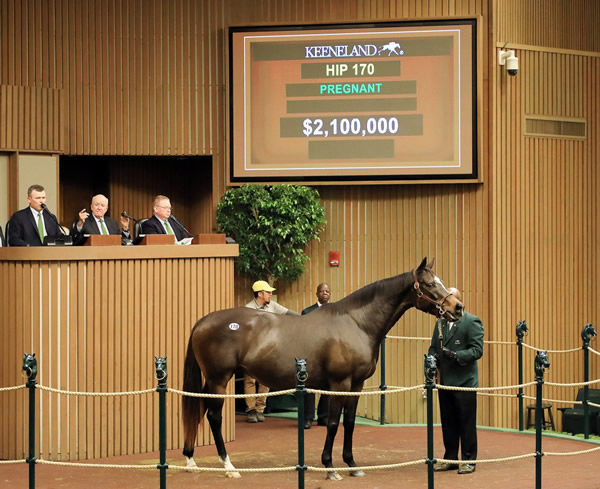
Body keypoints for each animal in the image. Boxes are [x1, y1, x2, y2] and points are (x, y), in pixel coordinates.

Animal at [183, 258, 464, 478]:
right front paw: (329, 467)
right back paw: (228, 466)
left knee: (199, 410)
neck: (356, 323)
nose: (458, 307)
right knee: (213, 416)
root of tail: (203, 321)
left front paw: (352, 464)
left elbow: (349, 422)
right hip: (219, 379)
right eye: (430, 284)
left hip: (212, 381)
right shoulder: (340, 384)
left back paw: (191, 460)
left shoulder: (357, 385)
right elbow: (332, 423)